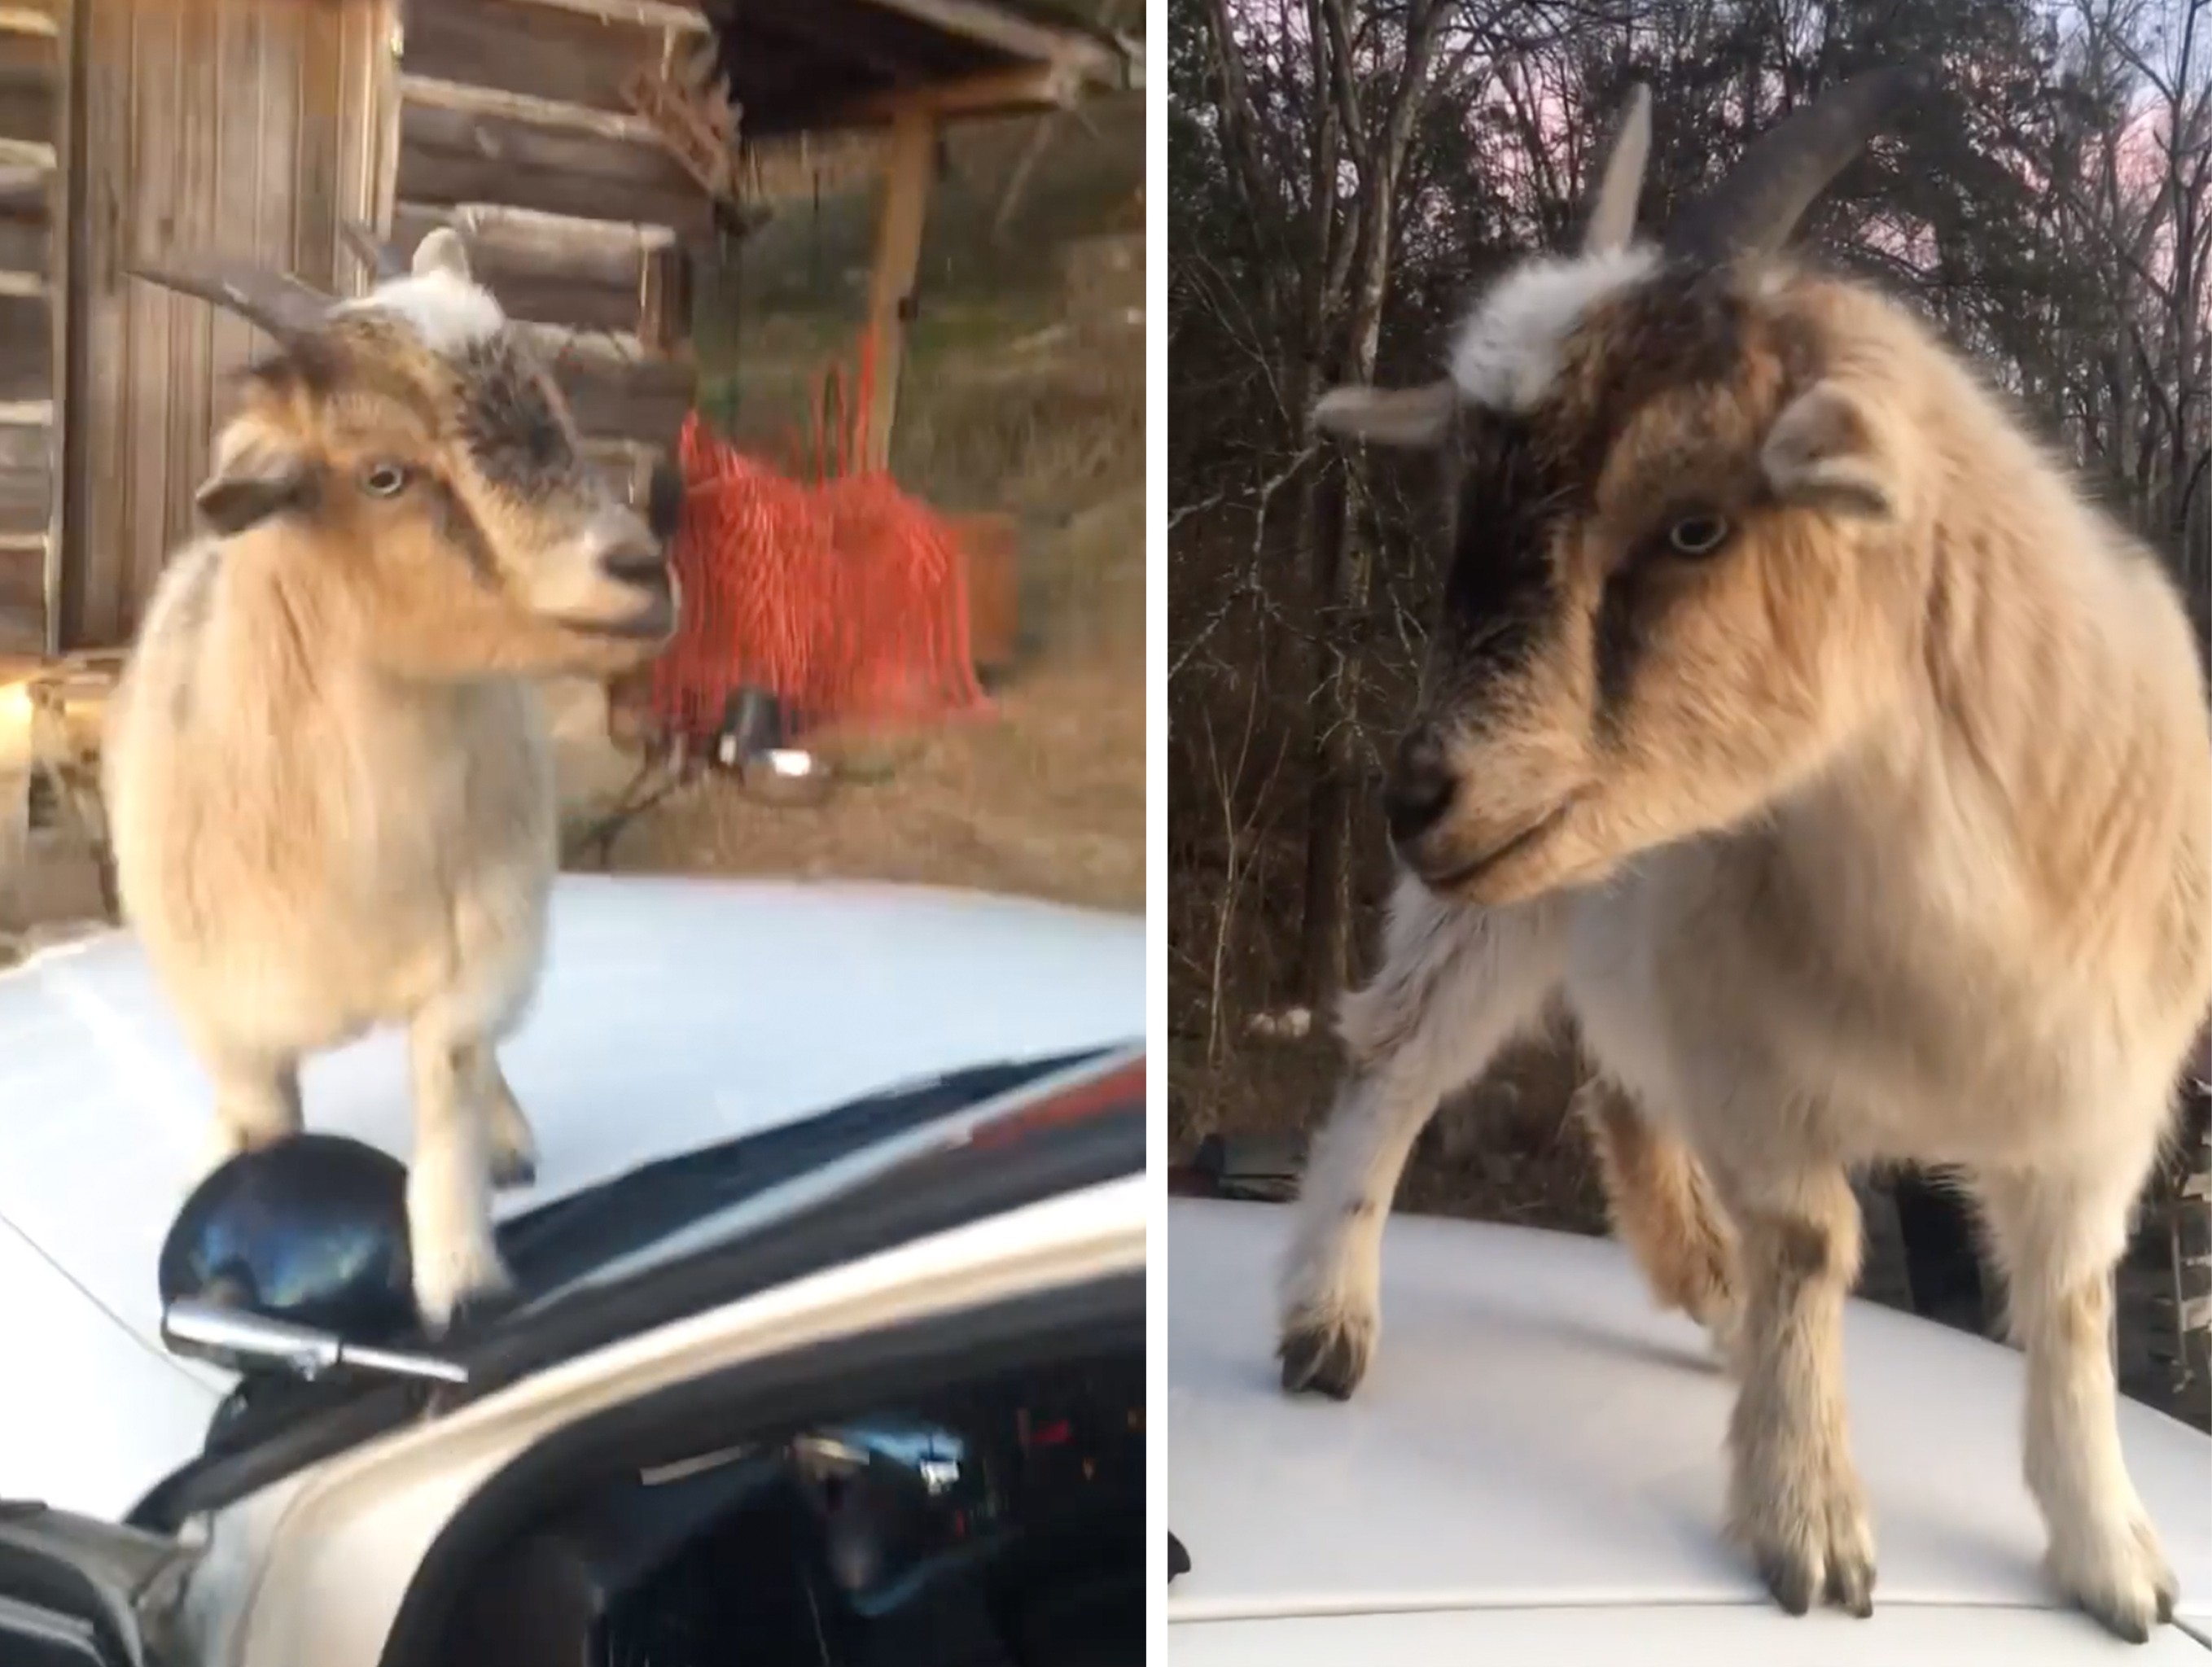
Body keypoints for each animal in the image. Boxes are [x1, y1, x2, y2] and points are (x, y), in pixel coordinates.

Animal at [107, 227, 677, 1335]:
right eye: (384, 474)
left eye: (555, 402)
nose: (640, 569)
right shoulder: (225, 1015)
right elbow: (265, 1124)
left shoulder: (486, 948)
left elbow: (448, 1073)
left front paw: (459, 1276)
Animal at [1282, 68, 2212, 1635]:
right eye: (1463, 515)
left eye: (1694, 523)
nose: (1415, 794)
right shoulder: (1762, 1073)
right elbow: (1814, 1246)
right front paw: (1812, 1525)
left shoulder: (2096, 1113)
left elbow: (2074, 1307)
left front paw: (2113, 1558)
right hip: (1490, 918)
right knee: (1392, 1064)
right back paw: (1327, 1318)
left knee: (1616, 1094)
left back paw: (1702, 1296)